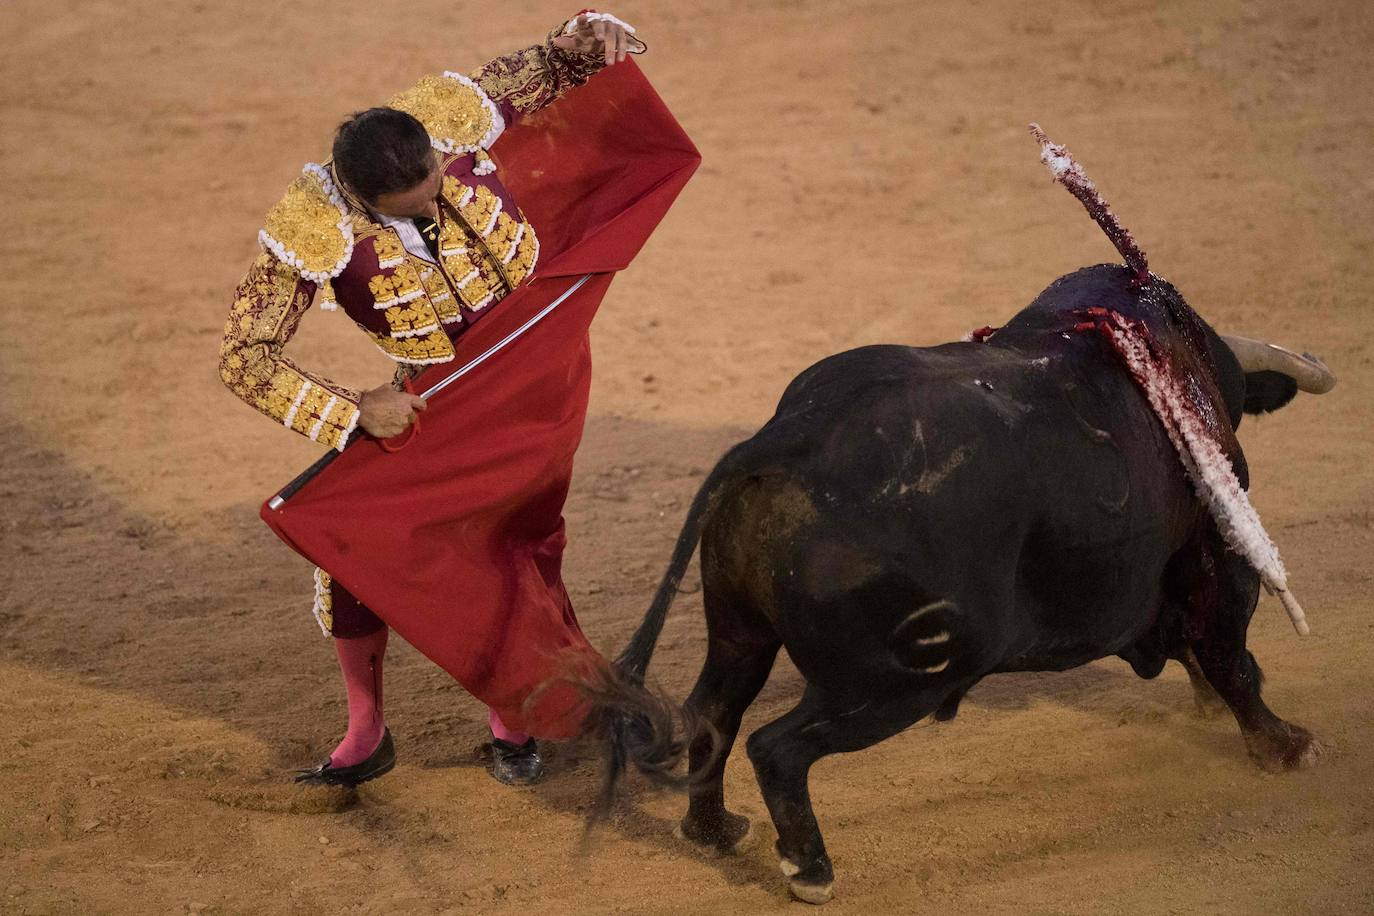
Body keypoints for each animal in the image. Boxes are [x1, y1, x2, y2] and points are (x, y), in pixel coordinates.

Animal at [590, 259, 1330, 900]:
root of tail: (790, 437)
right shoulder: (1220, 552)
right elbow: (1232, 656)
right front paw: (1286, 746)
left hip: (740, 630)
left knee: (713, 713)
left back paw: (713, 831)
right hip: (896, 680)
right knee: (776, 747)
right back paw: (811, 869)